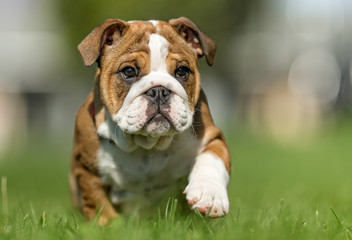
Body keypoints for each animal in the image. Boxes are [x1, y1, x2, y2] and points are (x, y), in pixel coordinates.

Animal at [70, 16, 232, 223]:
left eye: (182, 71)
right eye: (129, 71)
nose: (159, 91)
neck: (146, 146)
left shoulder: (212, 137)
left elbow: (212, 160)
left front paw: (209, 194)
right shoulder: (88, 172)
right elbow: (101, 207)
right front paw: (111, 226)